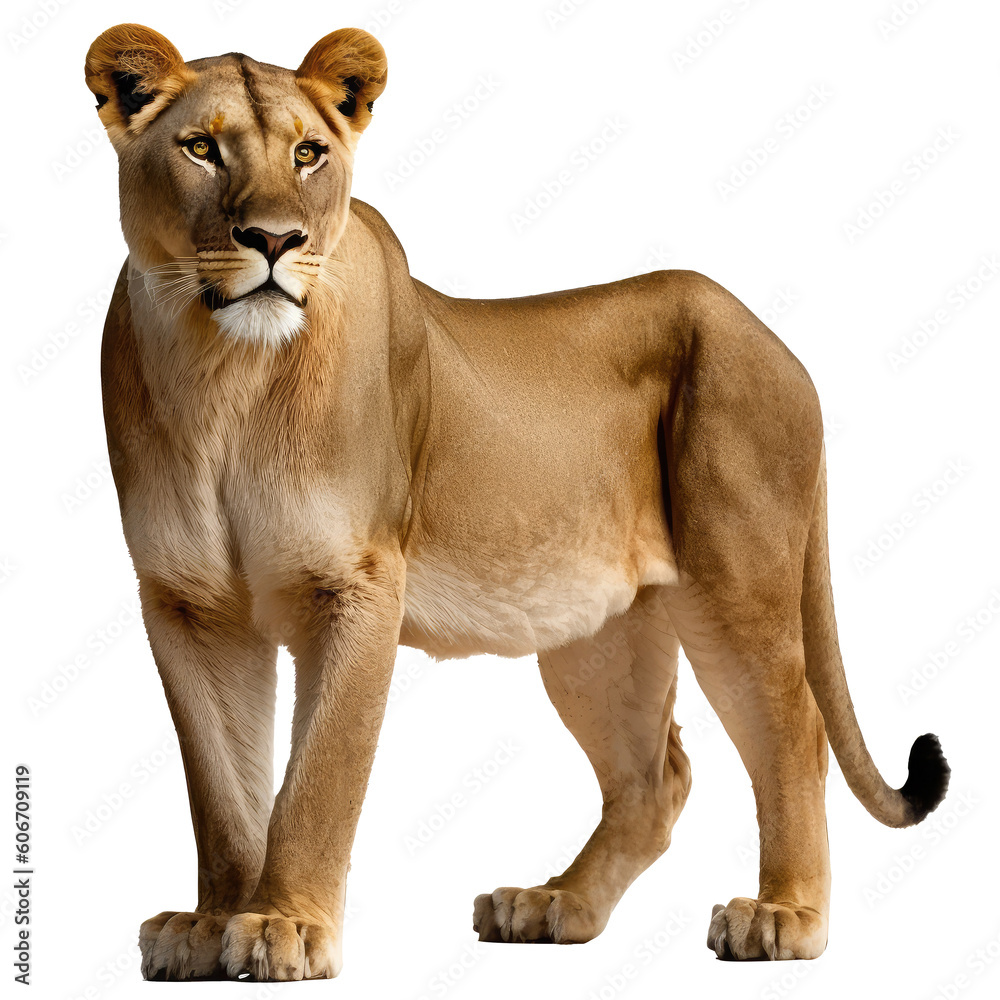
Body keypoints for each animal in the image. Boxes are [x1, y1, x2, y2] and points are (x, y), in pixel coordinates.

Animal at [85, 23, 949, 982]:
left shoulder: (357, 583)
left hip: (735, 578)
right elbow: (221, 787)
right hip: (597, 634)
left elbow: (320, 777)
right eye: (201, 148)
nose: (276, 240)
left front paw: (285, 925)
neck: (222, 374)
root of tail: (780, 345)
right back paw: (554, 904)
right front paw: (209, 923)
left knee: (795, 727)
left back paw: (784, 916)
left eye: (308, 154)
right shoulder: (188, 604)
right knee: (657, 778)